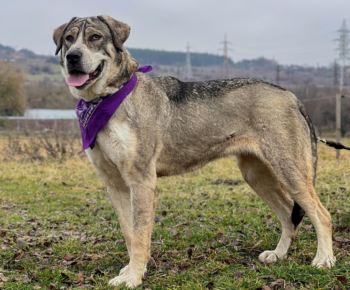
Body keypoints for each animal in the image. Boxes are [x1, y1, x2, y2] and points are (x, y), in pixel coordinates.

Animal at [53, 15, 334, 288]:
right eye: (69, 39)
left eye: (95, 37)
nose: (72, 57)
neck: (109, 99)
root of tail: (292, 97)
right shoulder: (116, 184)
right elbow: (130, 235)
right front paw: (132, 270)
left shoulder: (141, 181)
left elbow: (141, 236)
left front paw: (133, 278)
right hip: (256, 175)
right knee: (289, 215)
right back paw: (279, 254)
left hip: (290, 173)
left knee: (322, 215)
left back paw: (324, 259)